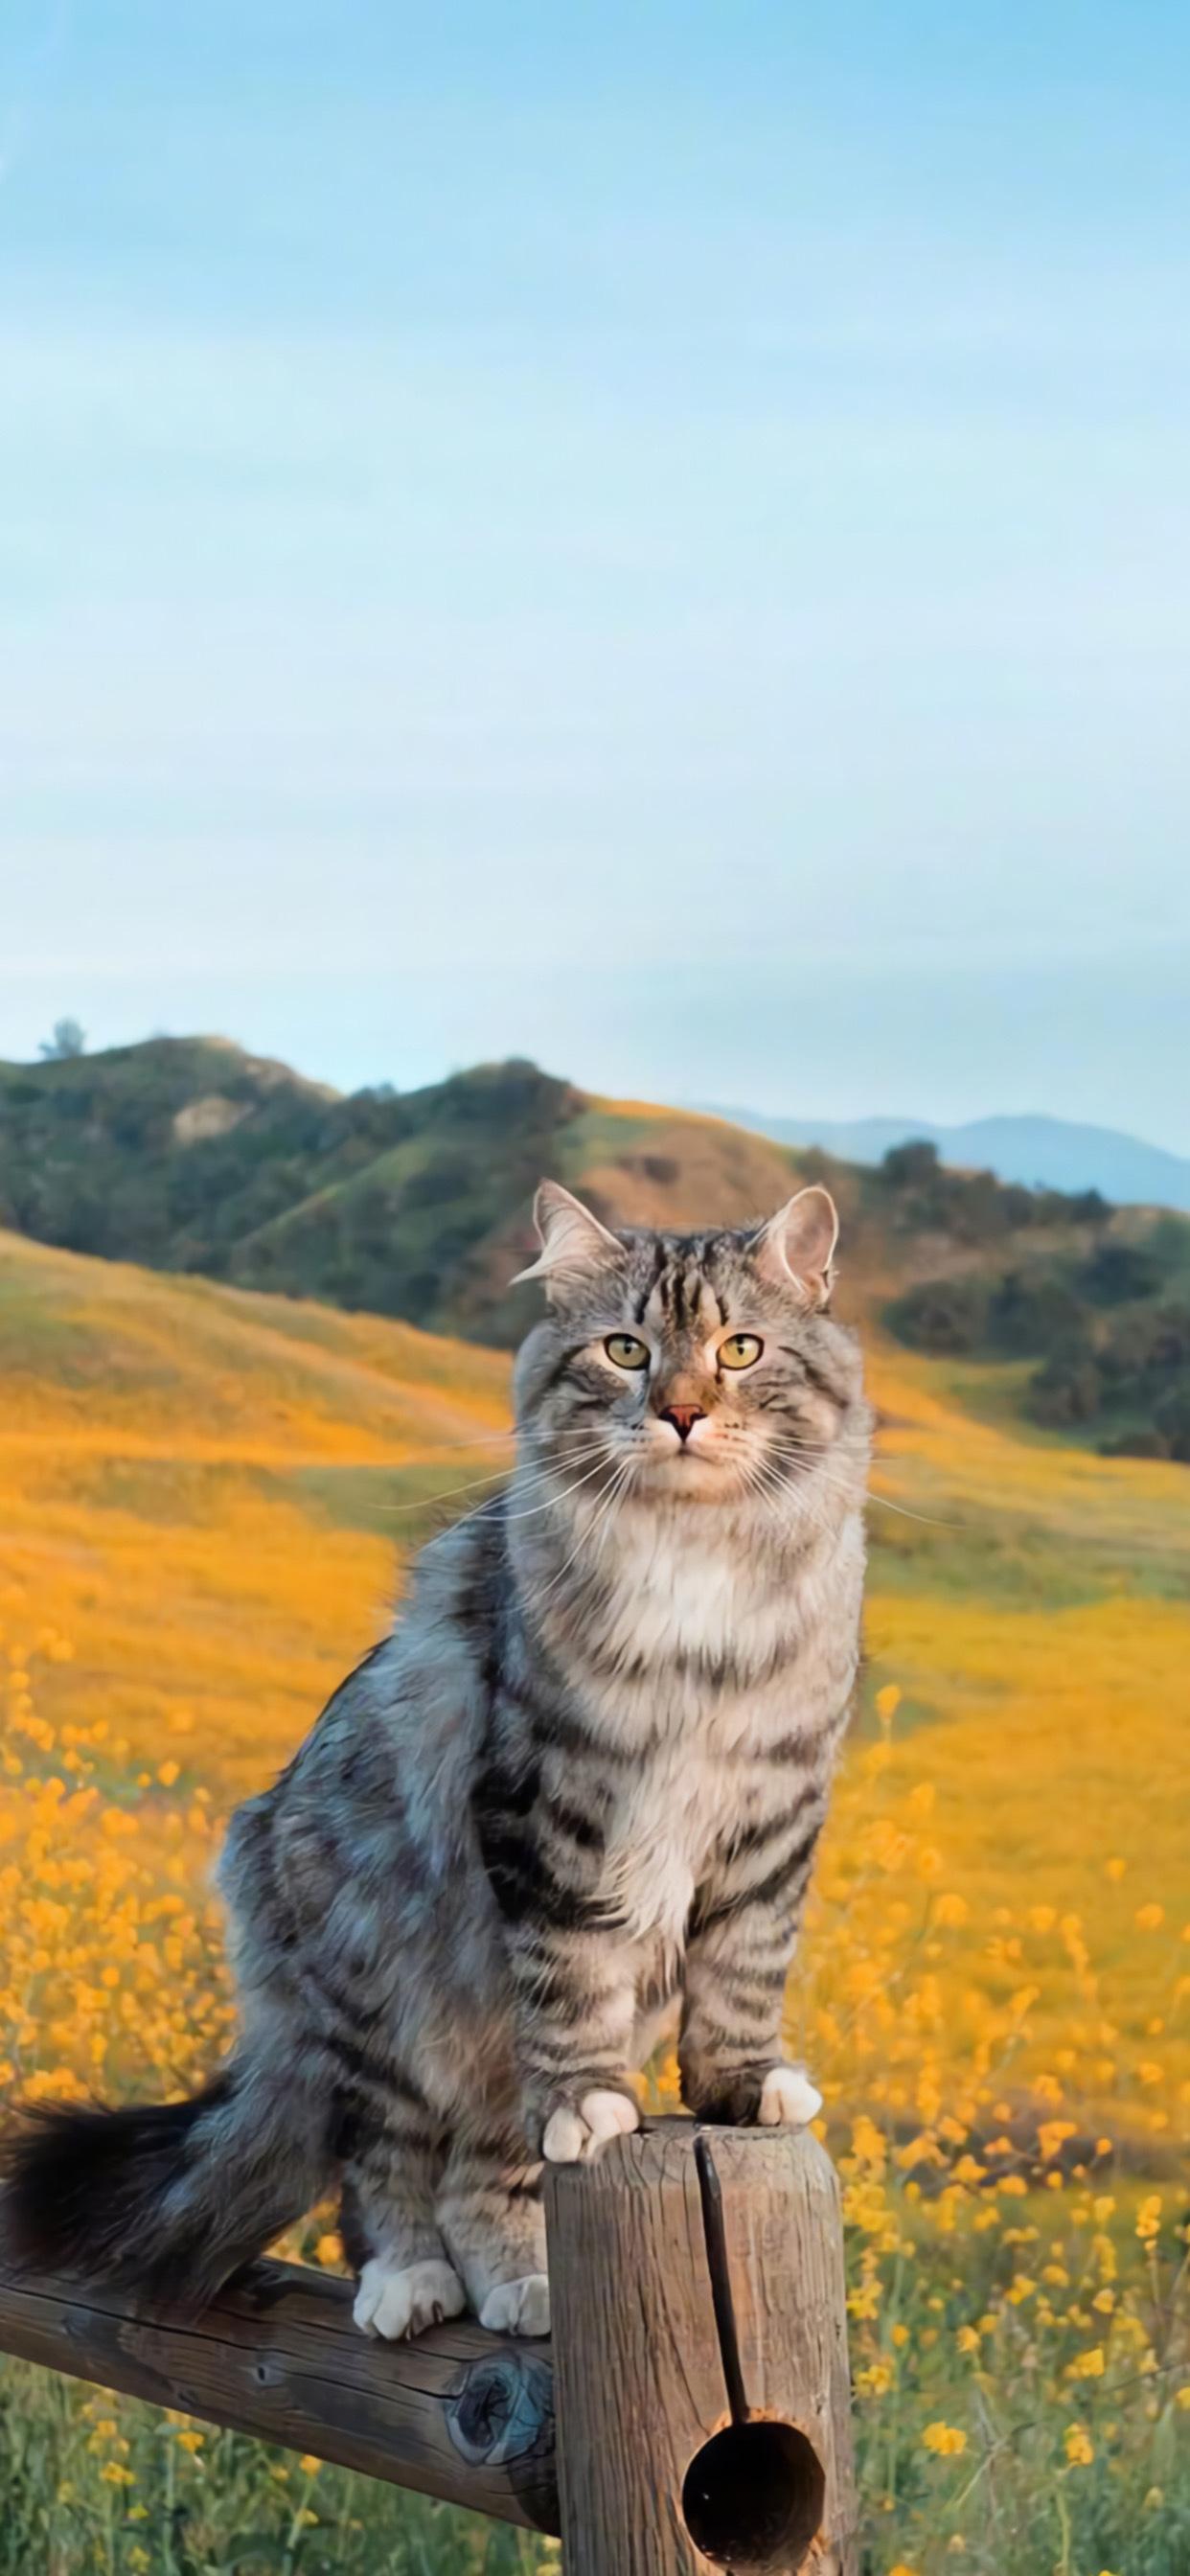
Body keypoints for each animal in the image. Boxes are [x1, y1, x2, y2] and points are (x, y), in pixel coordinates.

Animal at [4, 1180, 870, 2349]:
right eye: (626, 1350)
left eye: (741, 1350)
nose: (683, 1413)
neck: (697, 1573)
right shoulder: (545, 1797)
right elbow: (570, 1980)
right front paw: (592, 2100)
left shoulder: (774, 1802)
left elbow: (744, 1967)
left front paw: (743, 2089)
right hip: (375, 2003)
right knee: (388, 2167)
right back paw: (409, 2285)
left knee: (484, 2171)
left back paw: (521, 2284)